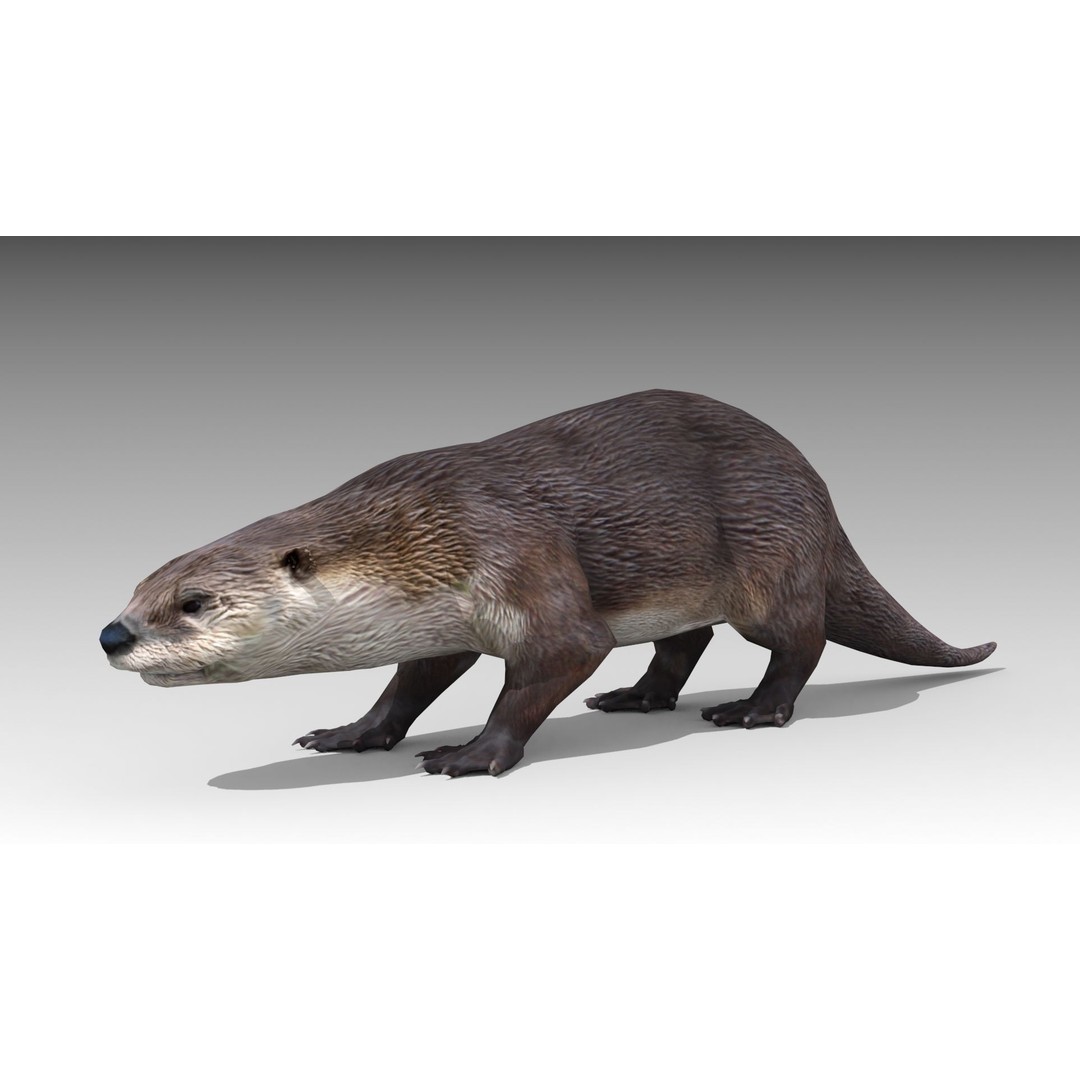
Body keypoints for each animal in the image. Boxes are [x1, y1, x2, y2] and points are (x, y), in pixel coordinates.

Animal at [100, 389, 996, 777]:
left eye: (192, 603)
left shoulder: (514, 558)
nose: (112, 635)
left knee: (799, 640)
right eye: (136, 593)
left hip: (769, 555)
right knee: (687, 639)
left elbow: (555, 661)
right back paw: (638, 697)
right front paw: (353, 734)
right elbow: (410, 683)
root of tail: (818, 487)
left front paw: (474, 753)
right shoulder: (442, 617)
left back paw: (754, 710)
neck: (416, 533)